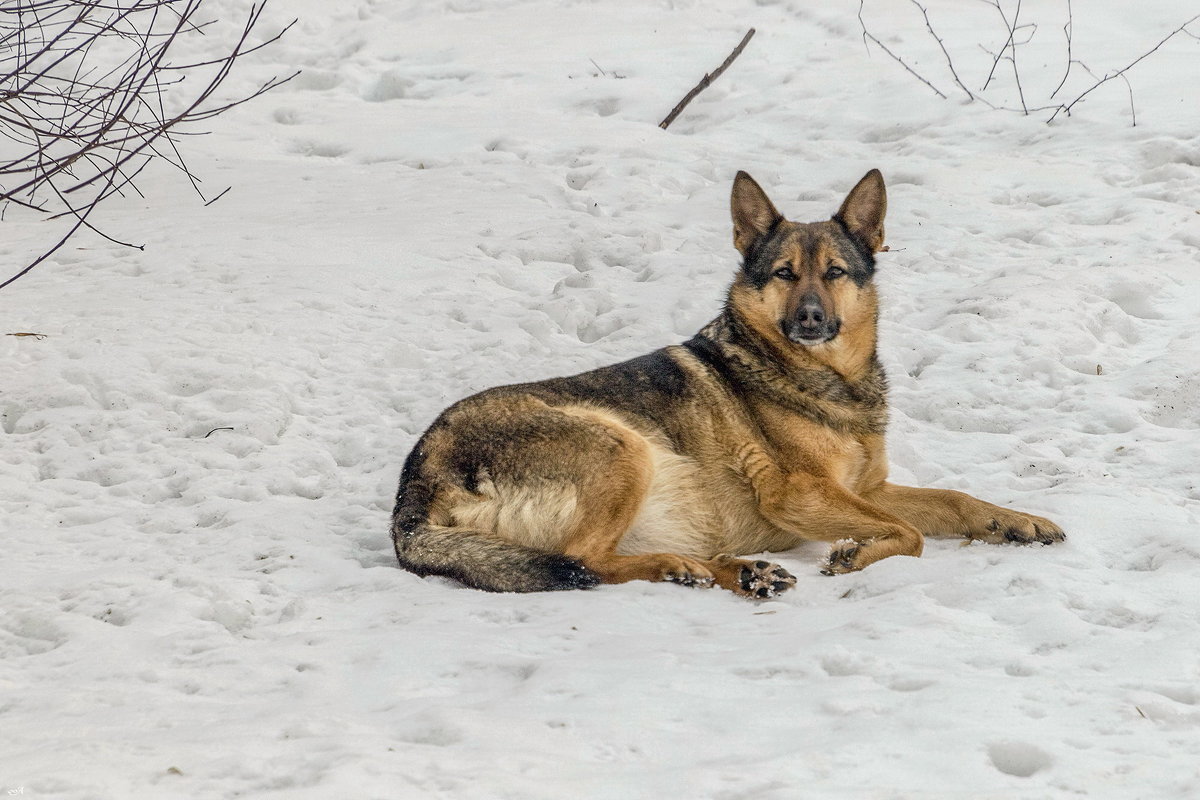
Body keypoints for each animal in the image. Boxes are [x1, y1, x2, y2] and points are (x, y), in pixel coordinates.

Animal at [388, 169, 1065, 597]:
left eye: (836, 272)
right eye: (785, 273)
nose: (810, 318)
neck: (826, 380)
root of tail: (414, 487)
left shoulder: (865, 487)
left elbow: (954, 500)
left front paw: (1019, 522)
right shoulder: (800, 496)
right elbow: (913, 534)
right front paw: (855, 554)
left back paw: (740, 573)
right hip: (623, 447)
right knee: (582, 562)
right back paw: (686, 566)